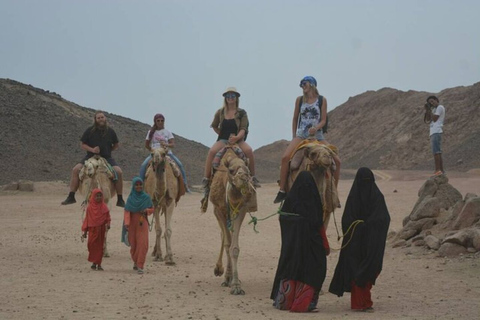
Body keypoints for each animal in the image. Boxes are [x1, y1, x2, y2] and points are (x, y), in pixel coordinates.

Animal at [208, 147, 256, 296]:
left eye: (247, 169)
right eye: (231, 170)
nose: (244, 178)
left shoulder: (241, 210)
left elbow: (234, 248)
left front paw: (236, 285)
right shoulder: (219, 210)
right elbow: (228, 244)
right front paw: (229, 279)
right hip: (218, 212)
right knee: (223, 236)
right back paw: (220, 271)